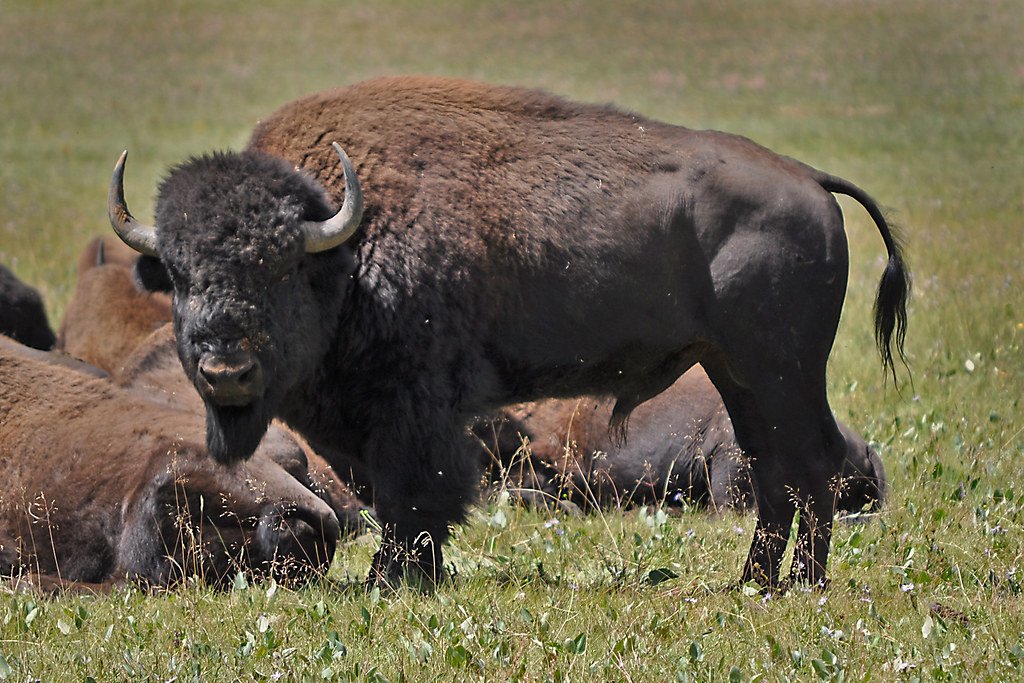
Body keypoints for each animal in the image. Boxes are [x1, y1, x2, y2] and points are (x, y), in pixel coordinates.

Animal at [109, 76, 909, 588]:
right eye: (177, 272)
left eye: (278, 267)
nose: (225, 371)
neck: (342, 248)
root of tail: (808, 180)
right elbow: (393, 496)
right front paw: (413, 575)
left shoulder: (413, 411)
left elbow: (416, 494)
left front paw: (395, 579)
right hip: (736, 373)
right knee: (777, 469)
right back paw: (755, 581)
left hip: (780, 372)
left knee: (807, 464)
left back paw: (798, 584)